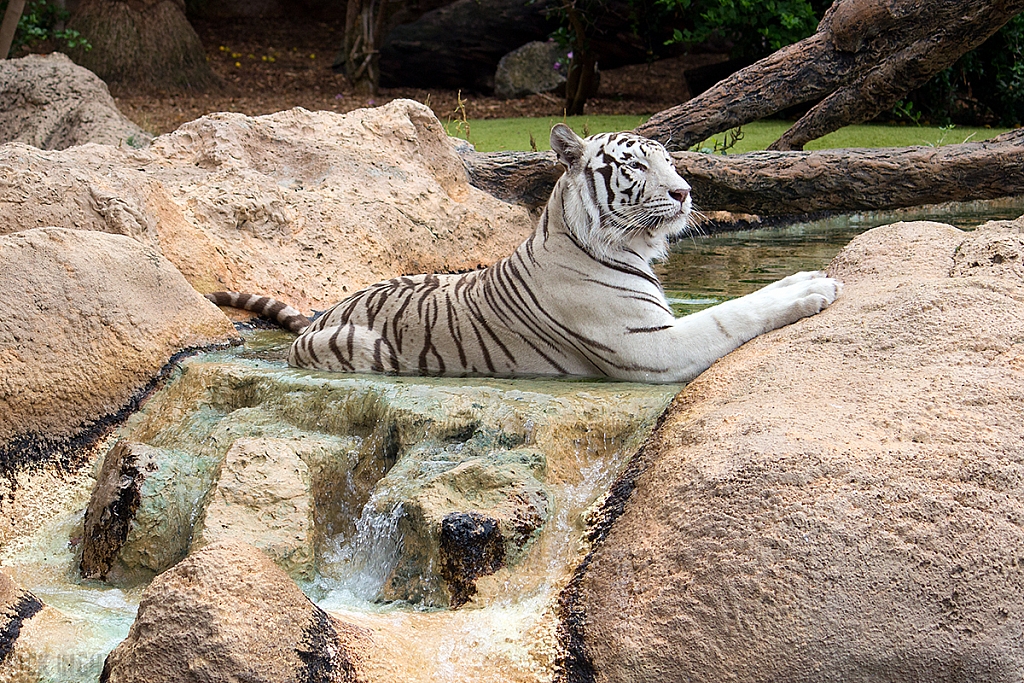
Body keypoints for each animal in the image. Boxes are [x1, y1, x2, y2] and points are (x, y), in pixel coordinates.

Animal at [207, 123, 839, 385]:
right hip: (359, 347)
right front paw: (814, 289)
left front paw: (802, 277)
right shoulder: (653, 347)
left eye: (669, 161)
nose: (685, 192)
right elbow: (731, 313)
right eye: (636, 166)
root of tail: (328, 311)